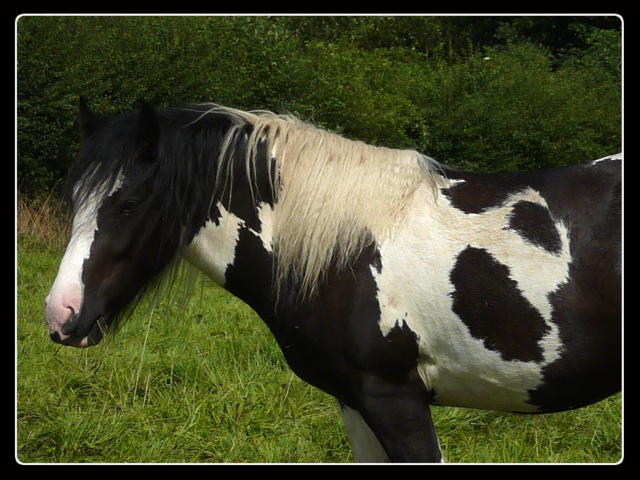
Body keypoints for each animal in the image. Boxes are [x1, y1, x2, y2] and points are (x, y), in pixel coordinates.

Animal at [43, 97, 620, 462]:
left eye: (130, 203)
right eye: (74, 199)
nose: (60, 314)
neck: (345, 254)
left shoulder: (396, 401)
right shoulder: (356, 403)